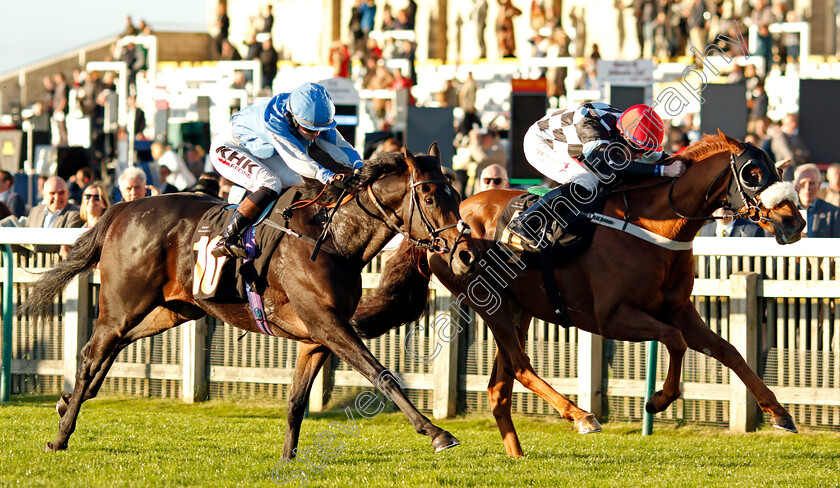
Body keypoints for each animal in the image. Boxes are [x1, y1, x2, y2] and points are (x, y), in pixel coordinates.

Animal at [23, 143, 476, 456]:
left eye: (457, 196)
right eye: (431, 198)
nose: (465, 253)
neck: (333, 238)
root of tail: (121, 209)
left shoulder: (316, 338)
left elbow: (296, 401)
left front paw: (289, 456)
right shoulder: (329, 325)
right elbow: (382, 374)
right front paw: (437, 433)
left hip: (173, 310)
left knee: (112, 348)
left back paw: (66, 402)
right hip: (122, 305)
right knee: (90, 354)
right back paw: (60, 437)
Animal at [352, 132, 804, 456]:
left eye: (779, 170)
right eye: (753, 174)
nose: (795, 222)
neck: (656, 226)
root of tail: (441, 225)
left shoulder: (678, 310)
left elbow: (729, 350)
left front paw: (780, 413)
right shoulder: (613, 317)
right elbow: (674, 341)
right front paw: (658, 401)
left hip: (520, 307)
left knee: (500, 388)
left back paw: (518, 455)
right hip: (489, 301)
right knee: (520, 367)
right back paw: (582, 416)